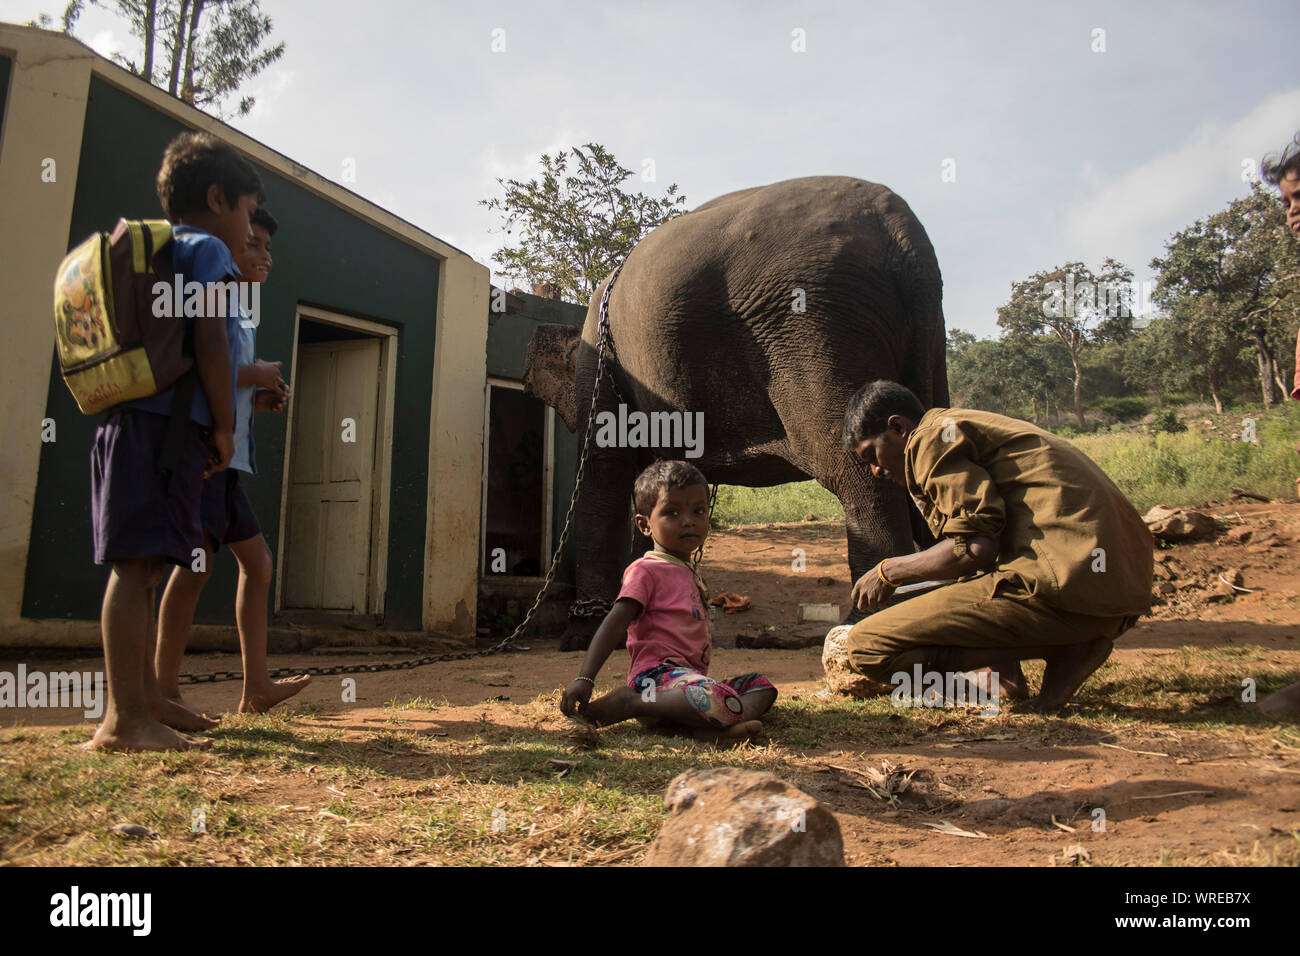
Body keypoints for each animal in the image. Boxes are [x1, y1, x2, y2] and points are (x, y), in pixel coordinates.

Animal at [522, 174, 951, 650]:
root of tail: (902, 231)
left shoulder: (597, 359)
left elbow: (605, 469)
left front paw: (584, 636)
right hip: (917, 335)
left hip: (816, 318)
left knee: (858, 471)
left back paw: (864, 621)